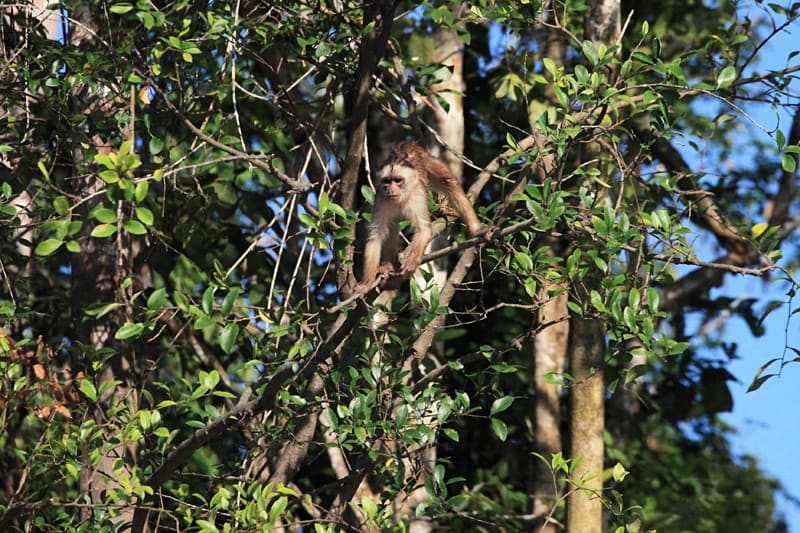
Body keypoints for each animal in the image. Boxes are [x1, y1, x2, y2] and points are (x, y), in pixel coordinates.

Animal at [358, 139, 494, 294]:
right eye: (387, 181)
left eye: (398, 180)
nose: (391, 190)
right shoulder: (381, 198)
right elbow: (375, 236)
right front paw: (367, 283)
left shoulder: (417, 193)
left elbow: (423, 229)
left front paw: (411, 262)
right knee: (392, 224)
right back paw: (387, 266)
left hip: (428, 160)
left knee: (449, 182)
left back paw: (477, 230)